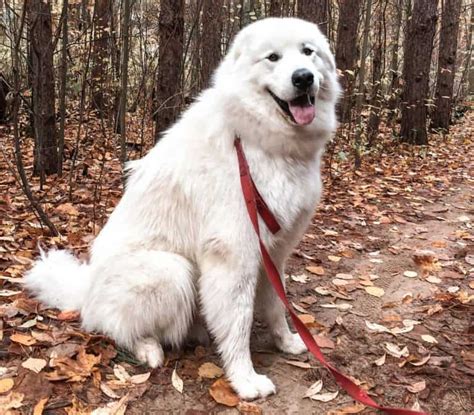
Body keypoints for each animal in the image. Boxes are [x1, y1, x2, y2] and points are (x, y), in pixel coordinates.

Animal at [25, 17, 340, 402]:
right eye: (273, 57)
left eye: (308, 52)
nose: (303, 78)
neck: (253, 140)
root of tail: (86, 293)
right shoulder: (234, 255)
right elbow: (238, 321)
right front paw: (245, 379)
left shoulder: (273, 252)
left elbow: (277, 306)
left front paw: (287, 342)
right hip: (171, 271)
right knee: (114, 327)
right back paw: (148, 348)